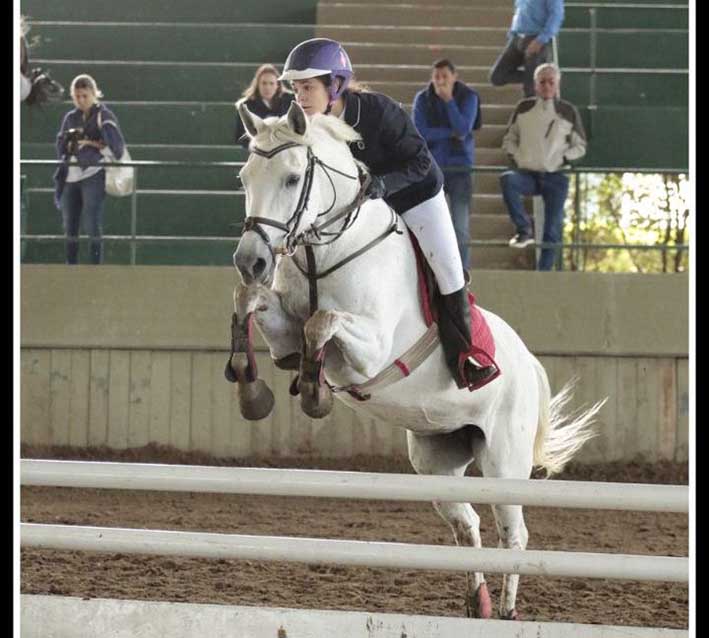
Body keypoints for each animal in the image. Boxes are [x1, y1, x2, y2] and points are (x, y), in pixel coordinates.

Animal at [228, 102, 604, 624]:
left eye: (291, 178)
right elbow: (252, 304)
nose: (251, 261)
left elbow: (321, 323)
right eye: (245, 177)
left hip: (503, 462)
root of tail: (530, 363)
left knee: (513, 533)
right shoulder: (282, 331)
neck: (328, 249)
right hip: (436, 460)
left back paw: (508, 611)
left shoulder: (371, 349)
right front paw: (252, 391)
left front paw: (315, 394)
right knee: (467, 524)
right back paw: (477, 602)